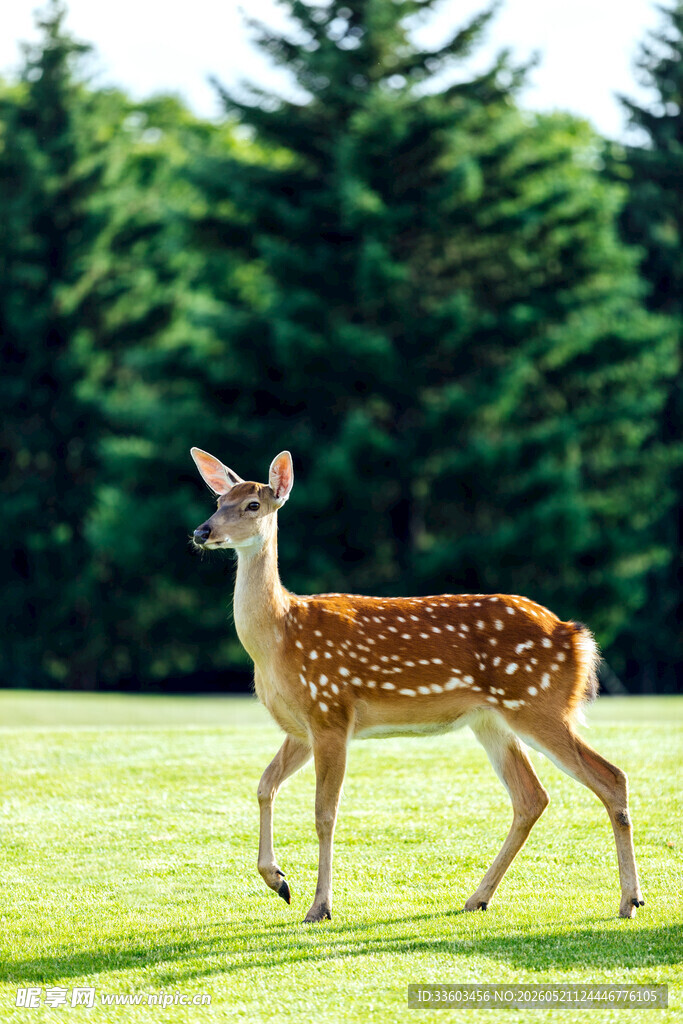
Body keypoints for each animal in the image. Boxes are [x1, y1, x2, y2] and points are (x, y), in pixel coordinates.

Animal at [190, 447, 644, 923]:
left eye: (252, 505)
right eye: (219, 501)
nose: (202, 531)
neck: (279, 637)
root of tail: (577, 637)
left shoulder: (331, 709)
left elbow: (324, 812)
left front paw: (320, 906)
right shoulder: (301, 727)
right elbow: (264, 786)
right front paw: (278, 881)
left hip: (539, 703)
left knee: (610, 776)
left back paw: (629, 900)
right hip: (491, 719)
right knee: (531, 797)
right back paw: (478, 897)